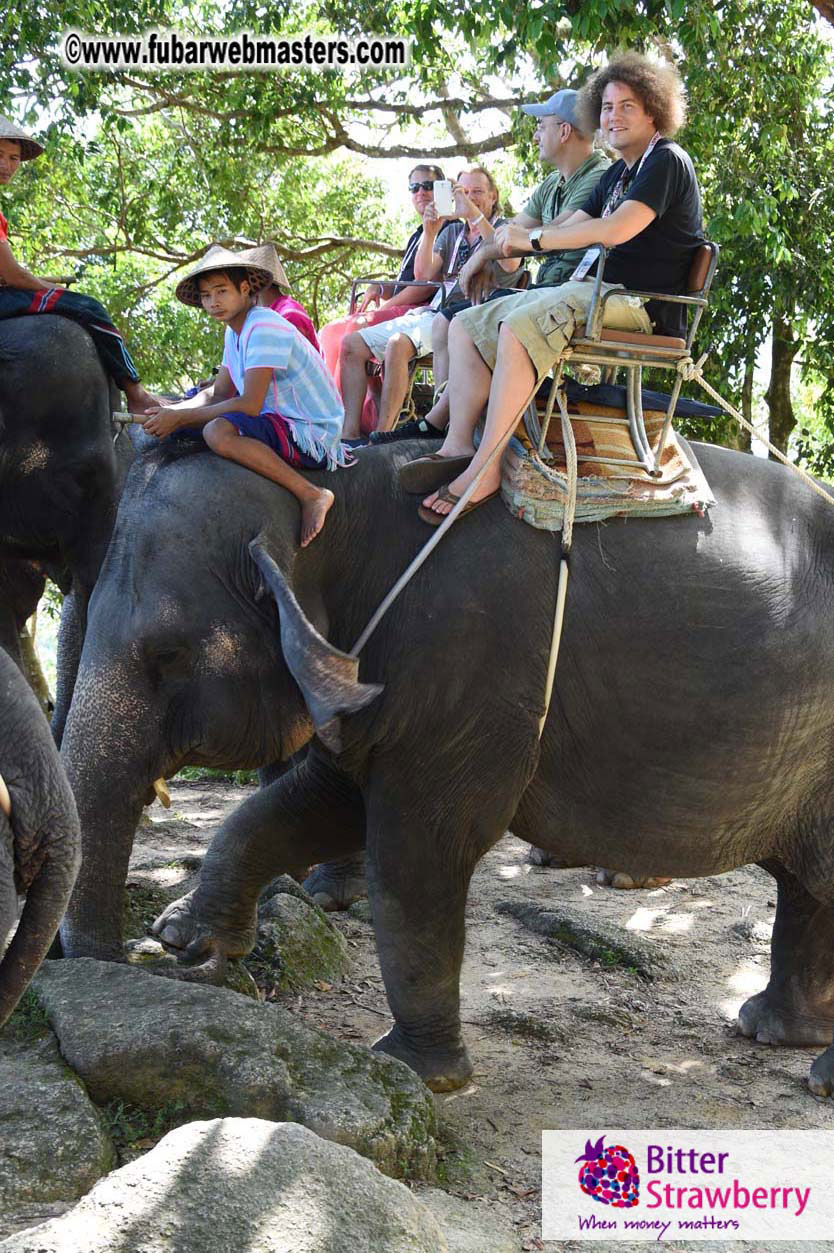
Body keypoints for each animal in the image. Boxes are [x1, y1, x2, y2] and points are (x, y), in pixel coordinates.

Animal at [58, 432, 834, 1095]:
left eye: (167, 655)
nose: (113, 962)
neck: (340, 489)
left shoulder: (469, 663)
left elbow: (418, 849)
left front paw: (416, 1073)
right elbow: (319, 804)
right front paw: (190, 936)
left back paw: (814, 1074)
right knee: (808, 885)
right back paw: (771, 1032)